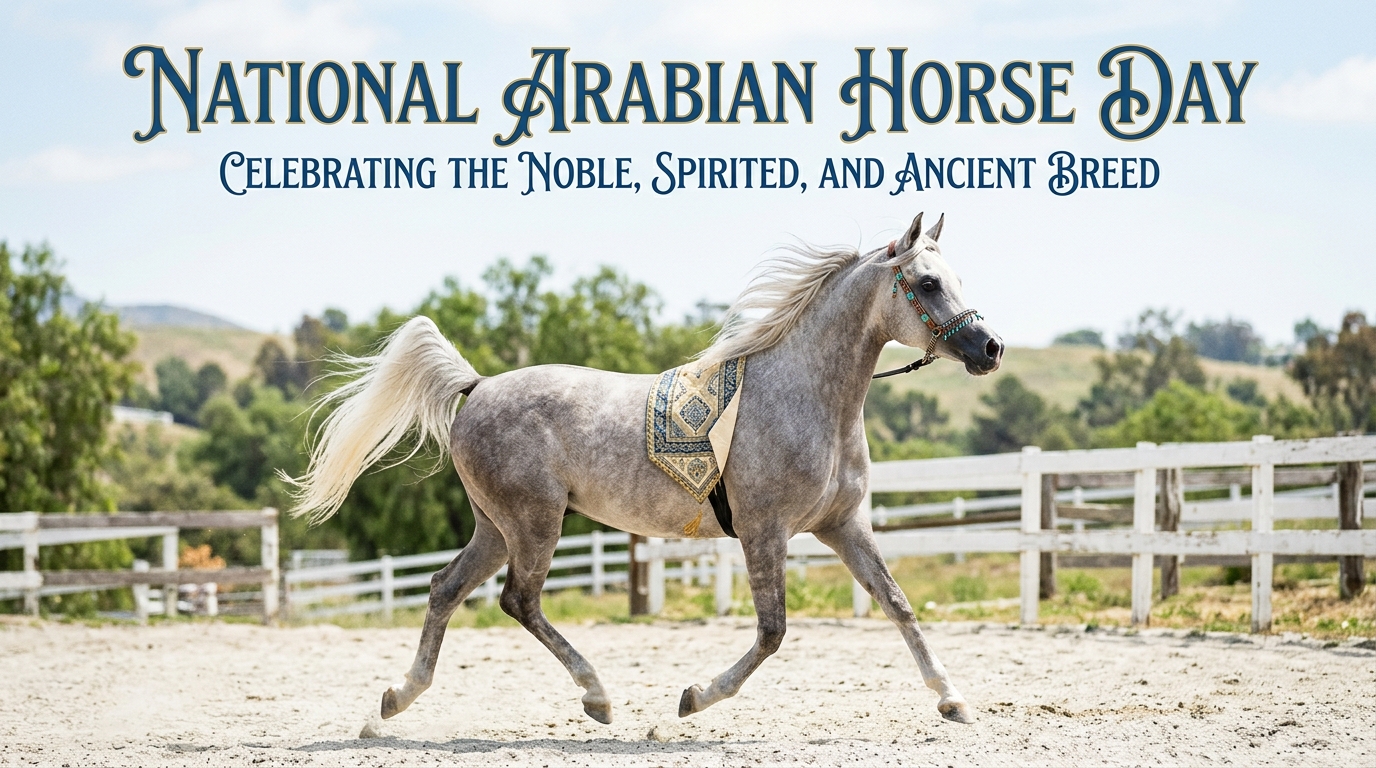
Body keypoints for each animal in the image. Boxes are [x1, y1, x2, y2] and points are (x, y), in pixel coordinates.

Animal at [286, 211, 1003, 726]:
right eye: (929, 283)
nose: (990, 348)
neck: (807, 396)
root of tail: (478, 385)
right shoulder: (764, 531)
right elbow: (773, 631)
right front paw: (690, 701)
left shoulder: (844, 527)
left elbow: (898, 604)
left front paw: (953, 700)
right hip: (534, 522)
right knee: (519, 600)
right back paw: (598, 698)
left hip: (495, 526)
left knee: (444, 589)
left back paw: (393, 703)